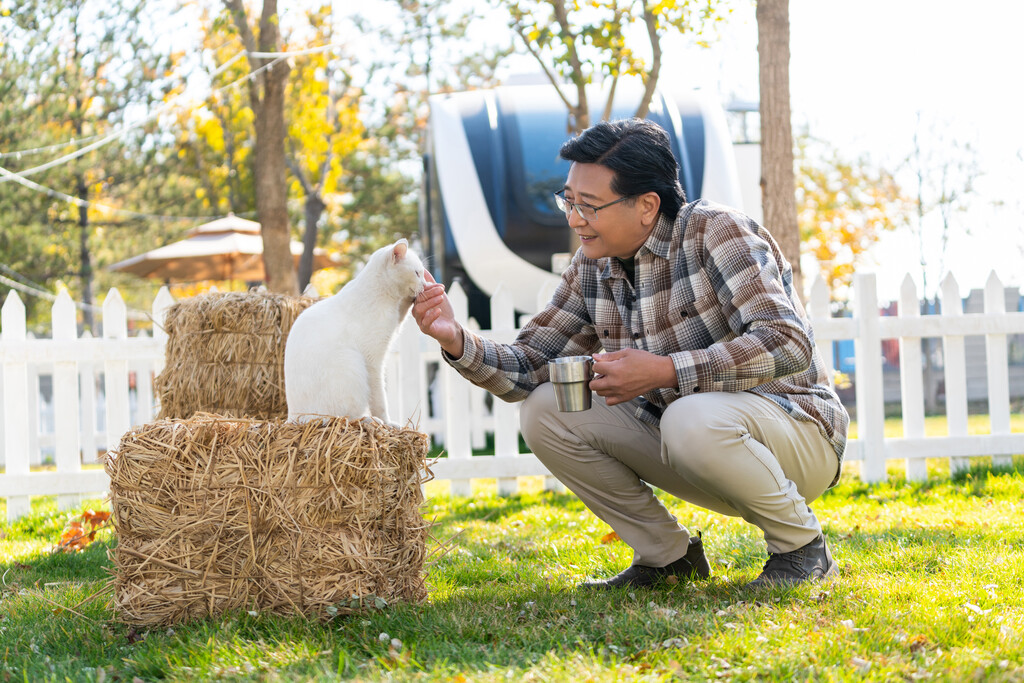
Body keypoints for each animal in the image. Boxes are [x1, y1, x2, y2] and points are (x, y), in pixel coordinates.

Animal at [284, 237, 423, 423]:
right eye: (417, 273)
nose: (425, 284)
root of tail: (292, 417)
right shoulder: (373, 361)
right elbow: (379, 399)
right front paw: (387, 422)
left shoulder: (394, 324)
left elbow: (403, 311)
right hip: (352, 364)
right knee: (345, 417)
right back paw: (369, 420)